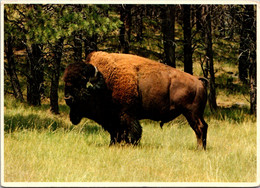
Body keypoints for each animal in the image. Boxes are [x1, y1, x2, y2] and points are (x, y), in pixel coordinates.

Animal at [64, 51, 208, 150]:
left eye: (81, 83)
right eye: (66, 83)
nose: (67, 98)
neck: (106, 81)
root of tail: (198, 80)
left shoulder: (126, 114)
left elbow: (133, 132)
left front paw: (131, 145)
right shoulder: (113, 119)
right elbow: (115, 133)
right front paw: (113, 145)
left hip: (191, 113)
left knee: (199, 128)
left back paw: (199, 148)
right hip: (196, 113)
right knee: (203, 126)